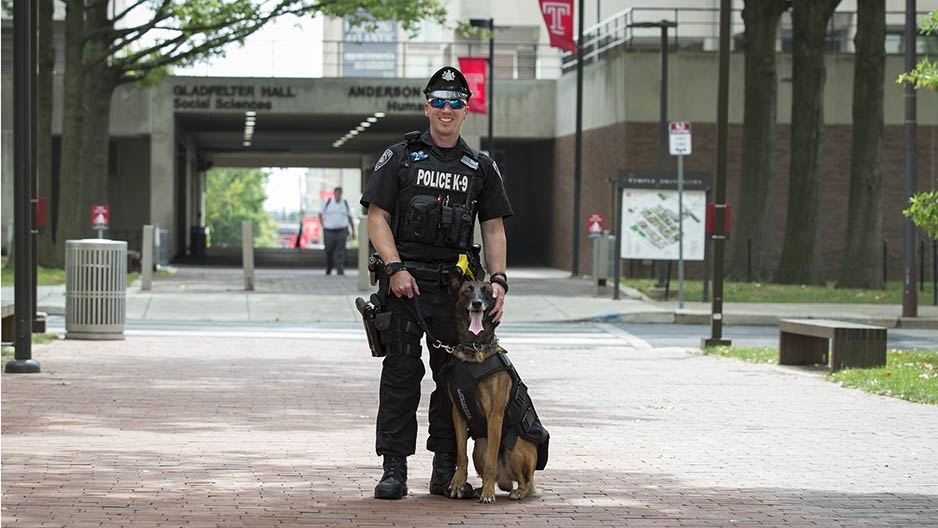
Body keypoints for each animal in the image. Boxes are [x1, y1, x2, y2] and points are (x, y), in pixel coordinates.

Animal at [442, 270, 544, 506]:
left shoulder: (494, 416)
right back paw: (480, 489)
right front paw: (458, 484)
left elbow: (489, 465)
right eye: (467, 291)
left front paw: (488, 494)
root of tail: (506, 477)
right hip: (480, 446)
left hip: (516, 449)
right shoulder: (457, 413)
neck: (474, 350)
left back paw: (513, 491)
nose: (477, 303)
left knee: (524, 483)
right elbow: (461, 455)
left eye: (488, 292)